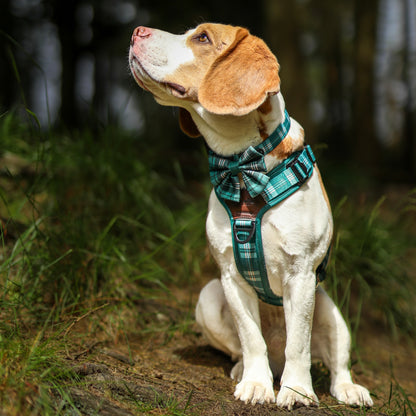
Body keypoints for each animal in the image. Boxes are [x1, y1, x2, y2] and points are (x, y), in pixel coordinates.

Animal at [128, 22, 372, 410]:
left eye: (202, 38)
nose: (137, 30)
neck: (244, 167)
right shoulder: (230, 275)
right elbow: (250, 337)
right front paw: (257, 384)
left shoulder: (301, 274)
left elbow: (298, 344)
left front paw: (296, 391)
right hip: (208, 297)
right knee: (246, 349)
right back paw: (246, 369)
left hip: (331, 311)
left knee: (336, 365)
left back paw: (348, 389)